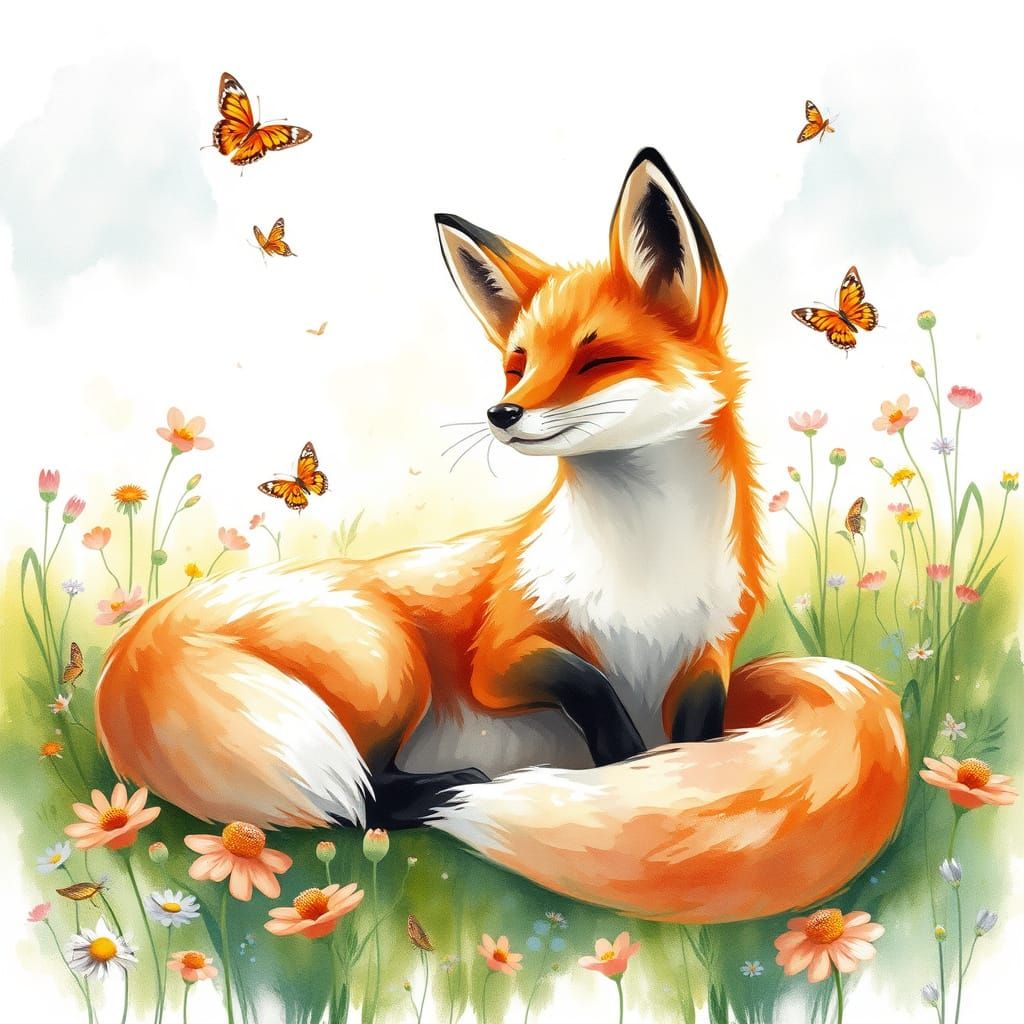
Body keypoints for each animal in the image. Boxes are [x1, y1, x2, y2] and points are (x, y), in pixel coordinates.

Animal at [95, 148, 908, 924]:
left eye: (596, 360)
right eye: (517, 365)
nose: (502, 412)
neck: (644, 574)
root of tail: (134, 649)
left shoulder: (706, 658)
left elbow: (697, 744)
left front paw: (659, 777)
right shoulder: (504, 655)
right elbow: (585, 682)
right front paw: (621, 765)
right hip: (388, 666)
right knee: (364, 800)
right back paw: (448, 793)